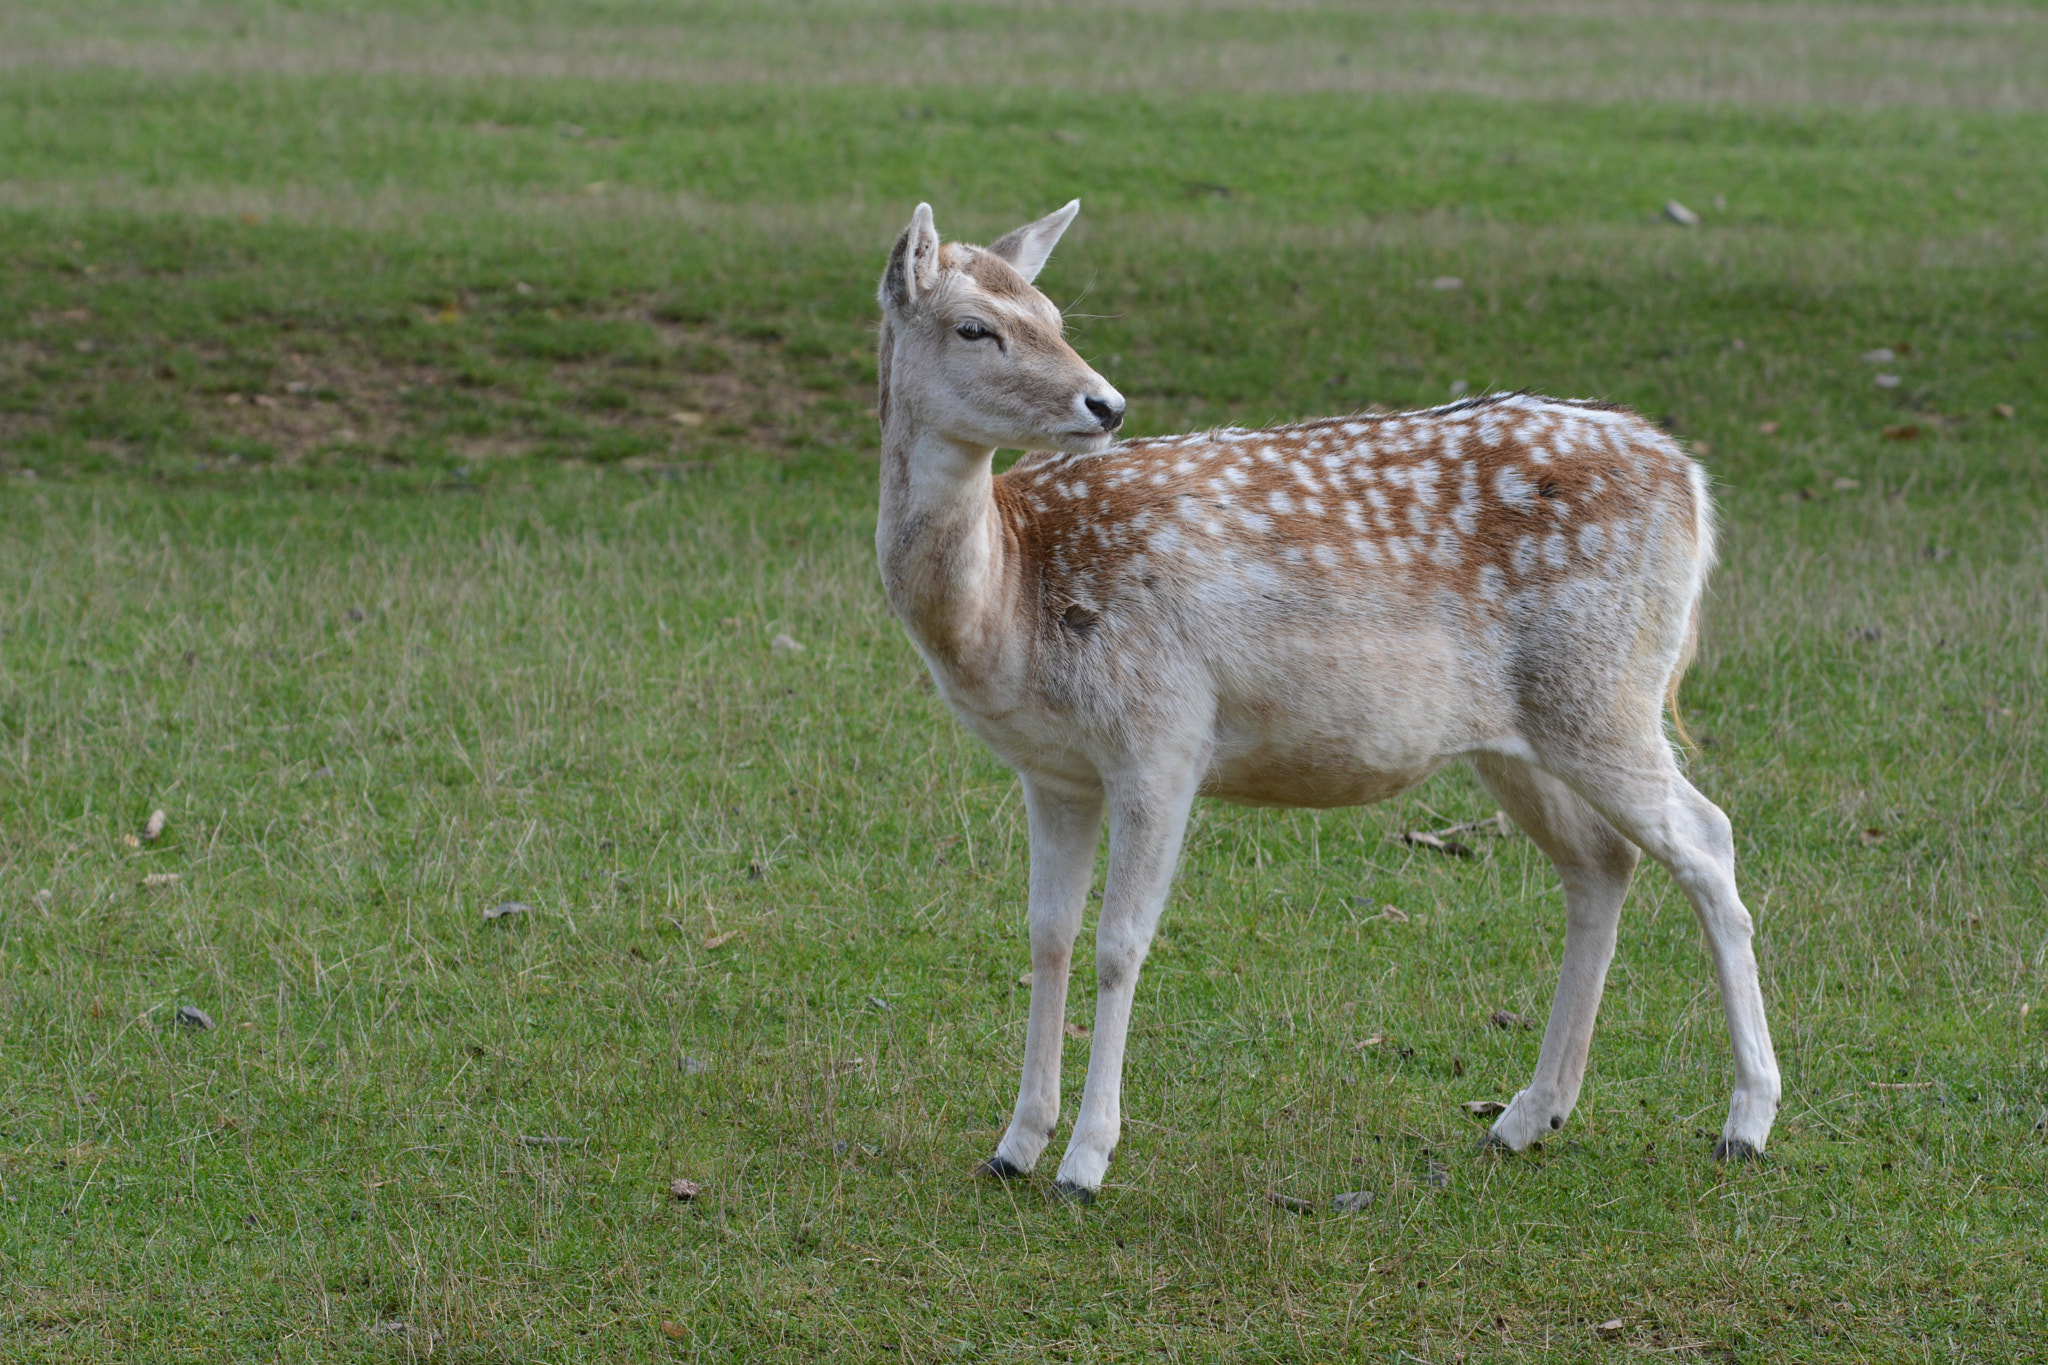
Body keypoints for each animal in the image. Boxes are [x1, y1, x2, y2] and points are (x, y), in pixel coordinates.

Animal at [872, 197, 1785, 1203]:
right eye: (976, 326)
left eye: (1055, 314)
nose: (1104, 404)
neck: (1011, 600)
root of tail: (1693, 480)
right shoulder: (1054, 769)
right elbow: (1047, 936)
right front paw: (1014, 1144)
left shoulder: (1163, 731)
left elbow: (1120, 943)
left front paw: (1085, 1160)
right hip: (1520, 733)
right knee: (1601, 861)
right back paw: (1525, 1116)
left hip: (1607, 689)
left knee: (1708, 837)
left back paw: (1746, 1121)